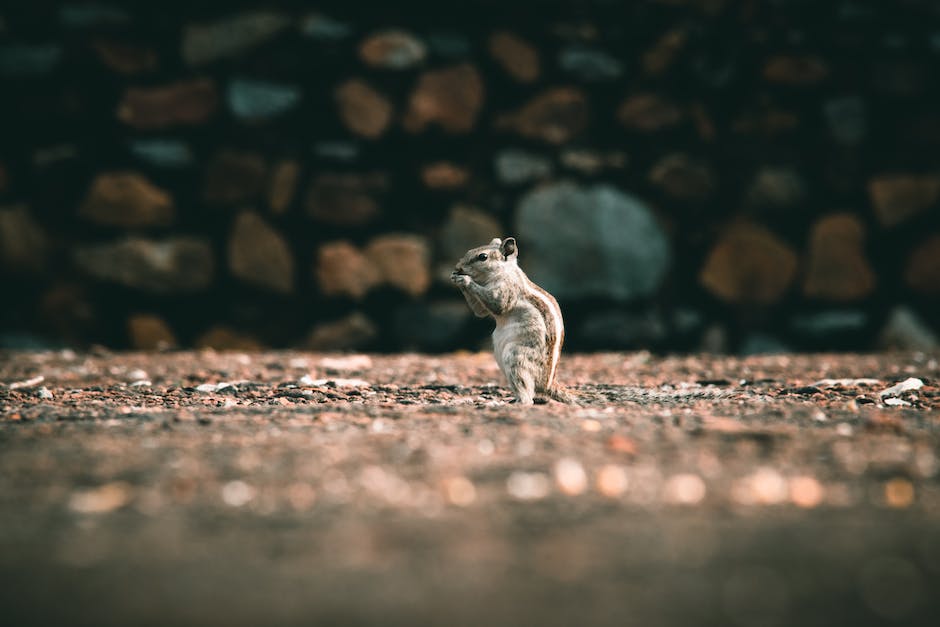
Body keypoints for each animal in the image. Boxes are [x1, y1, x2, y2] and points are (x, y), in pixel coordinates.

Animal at [450, 238, 572, 404]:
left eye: (483, 257)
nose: (458, 267)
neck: (504, 271)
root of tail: (547, 385)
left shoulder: (506, 290)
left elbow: (497, 304)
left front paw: (465, 280)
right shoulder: (482, 306)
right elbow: (480, 311)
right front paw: (455, 277)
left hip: (516, 358)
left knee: (528, 397)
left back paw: (510, 402)